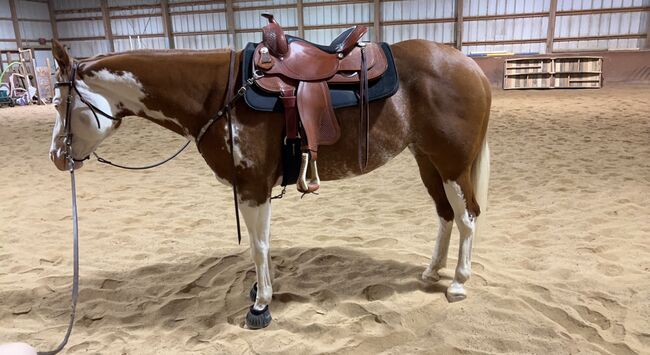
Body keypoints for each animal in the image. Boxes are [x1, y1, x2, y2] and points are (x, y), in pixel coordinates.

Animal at [48, 39, 488, 328]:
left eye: (57, 103)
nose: (56, 157)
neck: (218, 94)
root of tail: (470, 67)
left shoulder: (253, 187)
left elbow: (258, 247)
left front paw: (261, 304)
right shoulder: (255, 190)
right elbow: (263, 245)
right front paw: (262, 291)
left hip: (452, 164)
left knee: (467, 217)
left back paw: (458, 284)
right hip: (427, 161)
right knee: (445, 215)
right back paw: (432, 272)